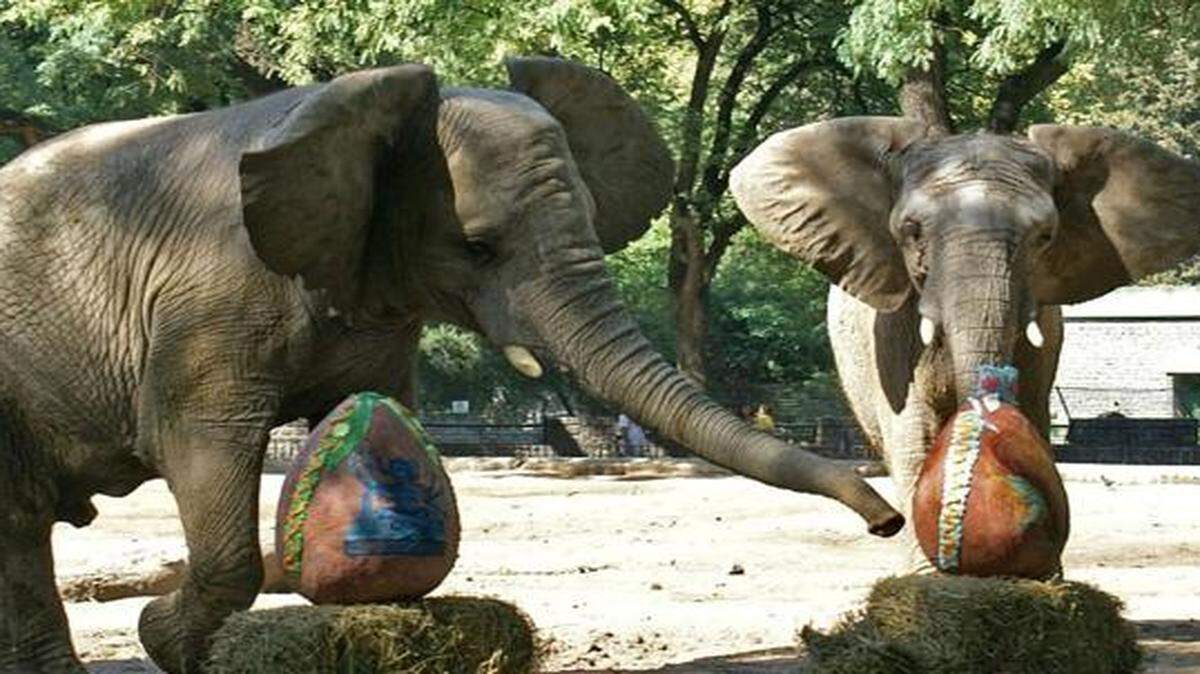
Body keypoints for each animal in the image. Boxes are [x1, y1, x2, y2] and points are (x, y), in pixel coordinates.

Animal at [0, 59, 903, 672]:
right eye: (478, 247)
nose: (887, 523)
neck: (351, 112)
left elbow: (373, 414)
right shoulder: (209, 303)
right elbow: (203, 448)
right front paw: (164, 638)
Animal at [730, 117, 1200, 570]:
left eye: (1044, 237)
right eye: (911, 231)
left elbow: (1030, 420)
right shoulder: (891, 335)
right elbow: (914, 433)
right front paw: (929, 577)